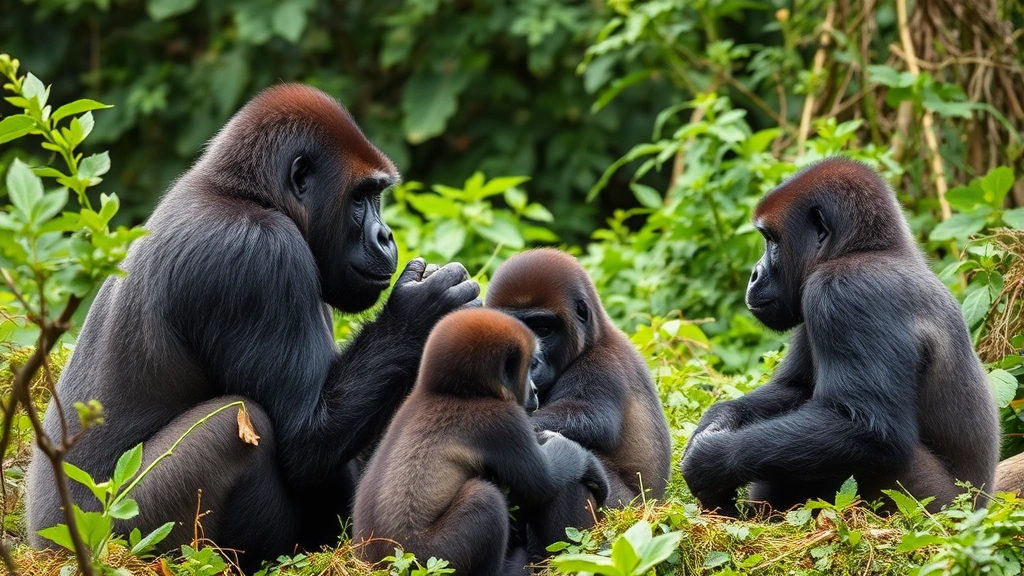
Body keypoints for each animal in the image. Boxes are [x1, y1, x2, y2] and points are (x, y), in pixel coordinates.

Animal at [27, 84, 480, 571]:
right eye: (361, 197)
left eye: (377, 195)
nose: (386, 236)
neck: (244, 192)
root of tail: (42, 545)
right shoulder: (260, 254)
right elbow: (306, 441)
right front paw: (419, 313)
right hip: (117, 535)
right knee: (234, 424)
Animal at [353, 308, 609, 576]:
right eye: (529, 367)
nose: (535, 391)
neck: (454, 392)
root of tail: (374, 563)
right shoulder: (503, 421)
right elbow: (545, 480)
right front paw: (590, 464)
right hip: (429, 558)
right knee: (484, 497)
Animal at [681, 157, 1000, 515]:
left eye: (771, 241)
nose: (755, 274)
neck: (869, 249)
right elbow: (794, 389)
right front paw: (717, 419)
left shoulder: (842, 291)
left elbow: (868, 431)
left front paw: (712, 461)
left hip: (938, 508)